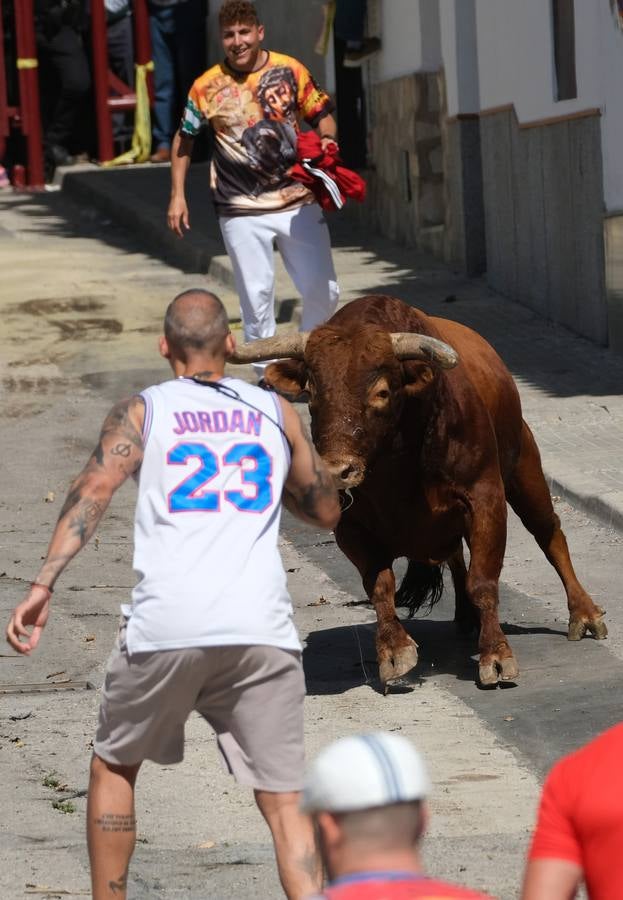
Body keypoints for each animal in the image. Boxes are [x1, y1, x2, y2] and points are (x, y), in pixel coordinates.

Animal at [232, 296, 608, 688]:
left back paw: (584, 614)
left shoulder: (485, 499)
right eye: (313, 394)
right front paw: (394, 651)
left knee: (549, 534)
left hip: (525, 469)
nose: (337, 470)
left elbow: (484, 581)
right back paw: (466, 616)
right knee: (456, 555)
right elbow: (379, 585)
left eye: (382, 392)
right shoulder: (350, 526)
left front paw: (496, 656)